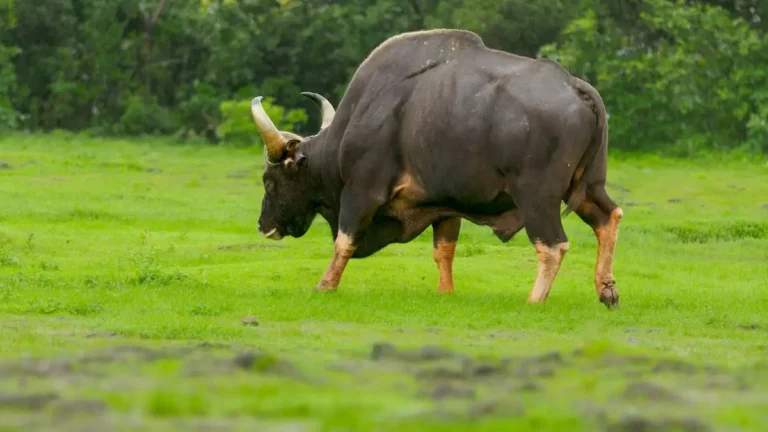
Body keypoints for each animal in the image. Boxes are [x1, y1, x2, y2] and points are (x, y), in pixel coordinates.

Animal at [251, 29, 623, 308]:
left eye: (269, 181)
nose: (263, 225)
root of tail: (575, 86)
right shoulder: (445, 205)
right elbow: (443, 250)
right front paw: (446, 292)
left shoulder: (361, 192)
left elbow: (345, 242)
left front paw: (325, 285)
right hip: (588, 187)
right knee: (609, 217)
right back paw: (606, 290)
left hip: (537, 198)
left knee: (552, 245)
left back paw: (535, 299)